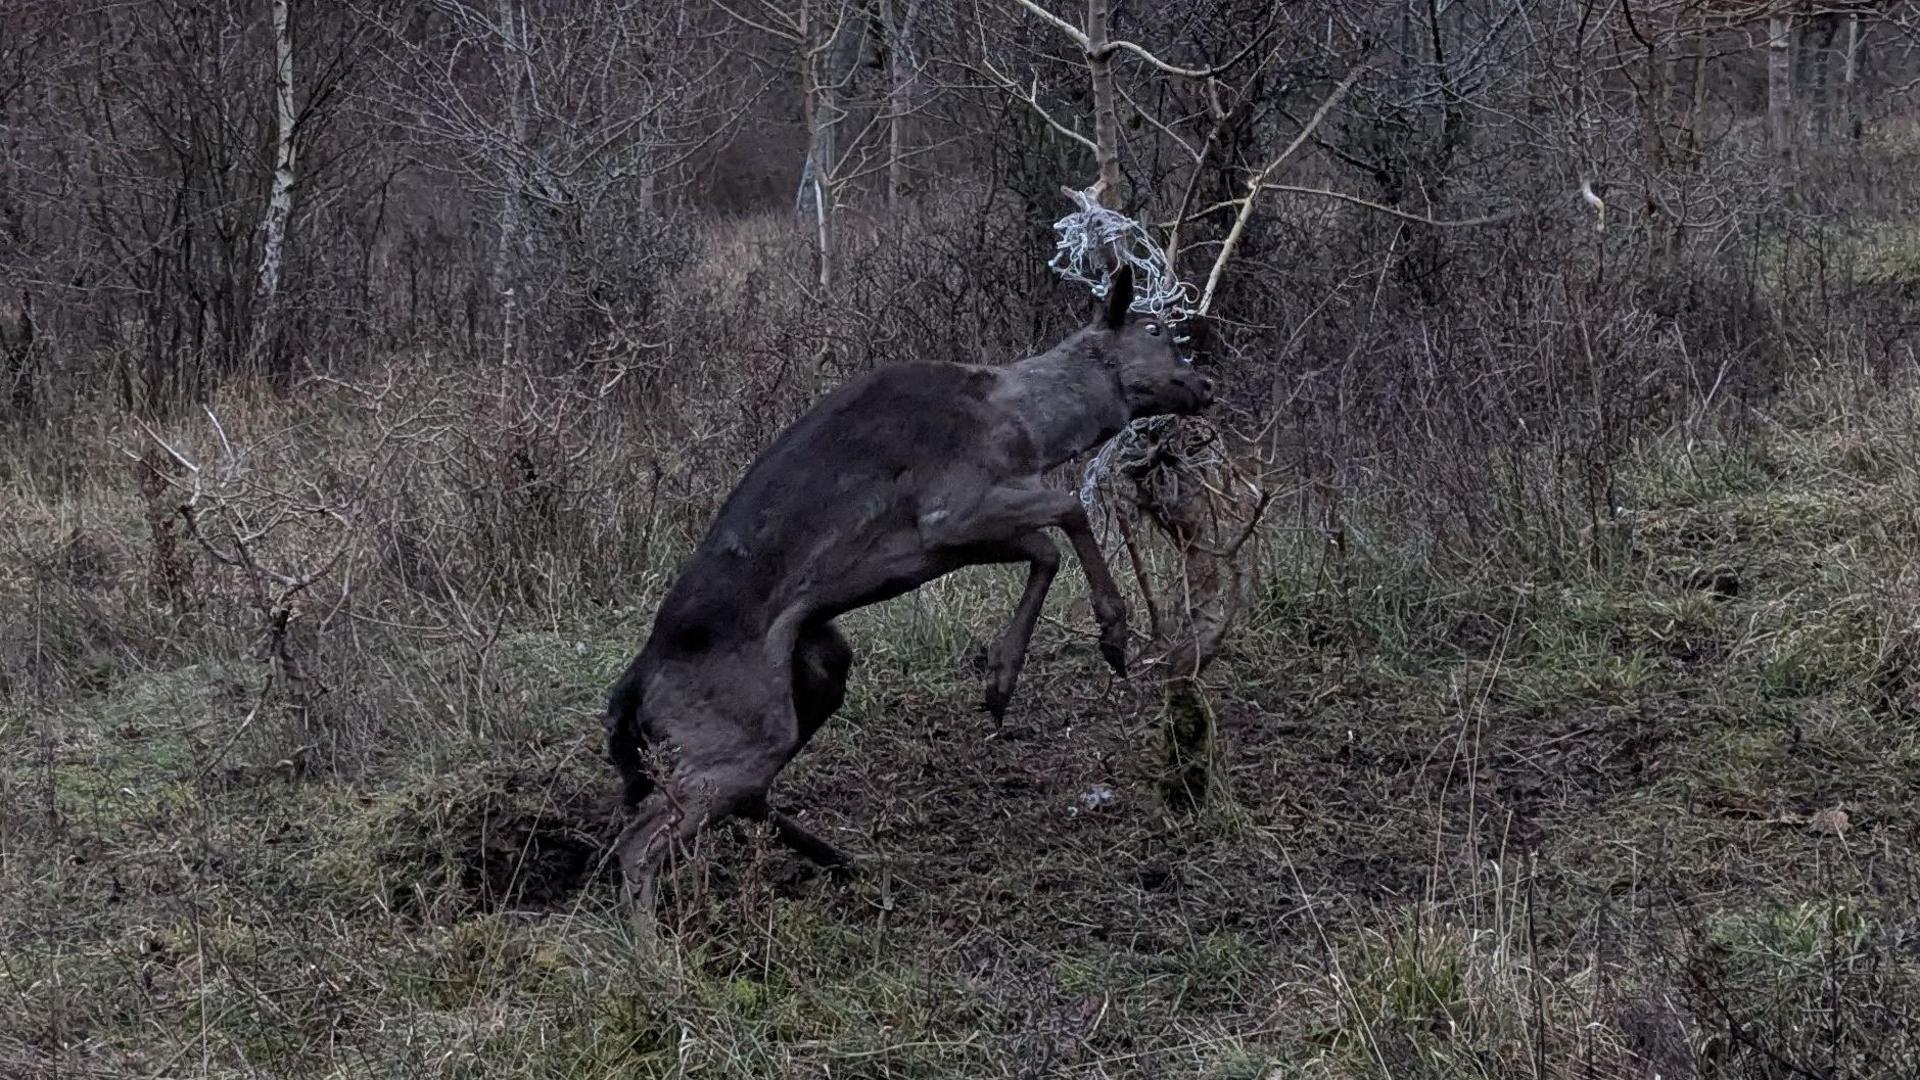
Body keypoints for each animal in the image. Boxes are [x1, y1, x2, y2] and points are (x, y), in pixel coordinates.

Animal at [602, 265, 1213, 903]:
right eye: (1156, 329)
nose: (1206, 385)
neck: (1029, 429)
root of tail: (634, 689)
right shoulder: (951, 508)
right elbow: (1069, 509)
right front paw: (1112, 636)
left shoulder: (947, 541)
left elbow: (1045, 550)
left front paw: (1000, 680)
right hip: (736, 725)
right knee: (641, 841)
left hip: (810, 673)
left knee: (734, 795)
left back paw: (847, 862)